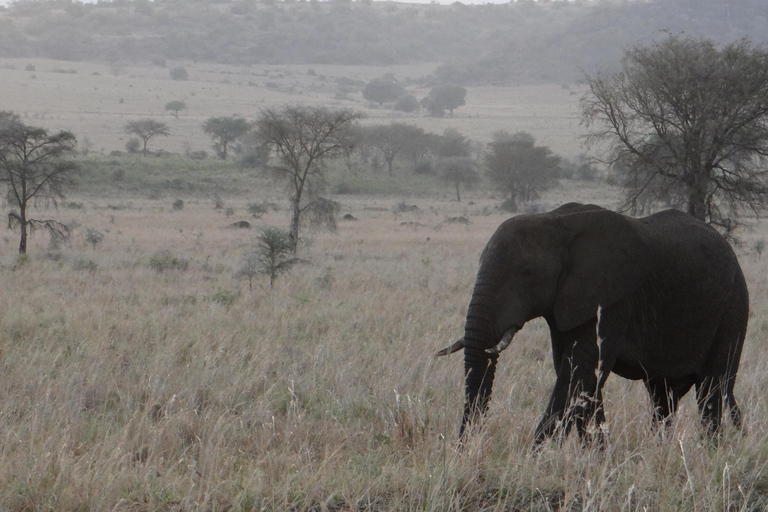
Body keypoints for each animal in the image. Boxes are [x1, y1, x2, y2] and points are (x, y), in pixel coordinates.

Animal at [440, 201, 748, 444]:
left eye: (526, 273)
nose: (463, 449)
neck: (553, 223)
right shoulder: (567, 306)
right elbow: (578, 375)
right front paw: (598, 455)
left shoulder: (612, 301)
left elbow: (578, 373)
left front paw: (536, 457)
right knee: (663, 397)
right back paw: (660, 450)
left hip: (732, 309)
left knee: (712, 389)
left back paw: (709, 452)